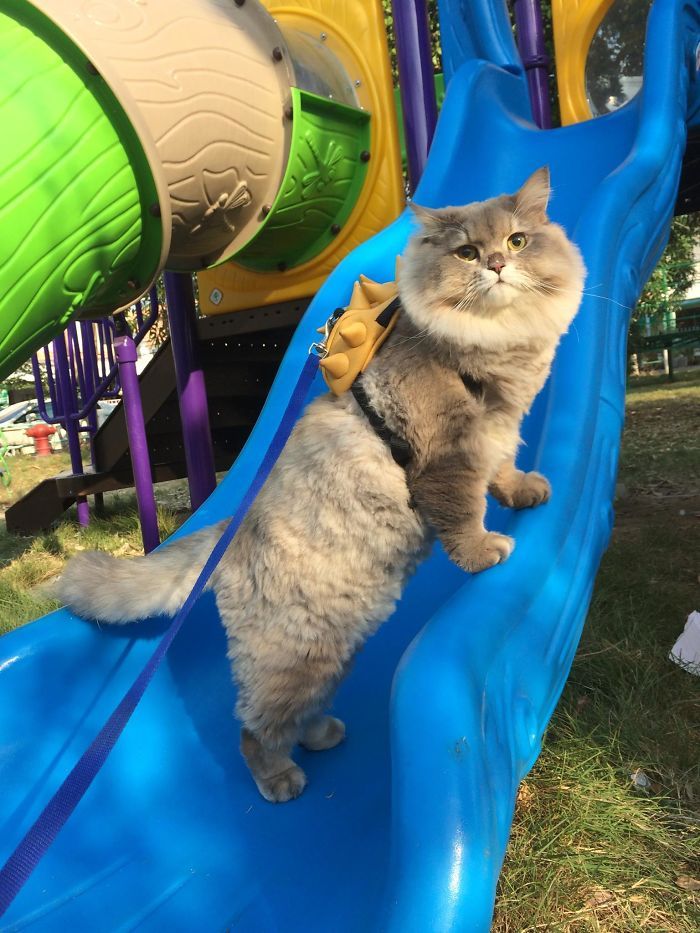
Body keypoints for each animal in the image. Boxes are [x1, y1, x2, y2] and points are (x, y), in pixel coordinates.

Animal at [58, 167, 584, 800]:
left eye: (518, 241)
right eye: (466, 253)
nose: (498, 265)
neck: (491, 347)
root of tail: (229, 536)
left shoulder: (499, 431)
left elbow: (503, 473)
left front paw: (526, 492)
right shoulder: (448, 456)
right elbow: (462, 515)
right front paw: (487, 550)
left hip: (336, 649)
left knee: (298, 712)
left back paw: (322, 734)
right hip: (297, 656)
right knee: (255, 729)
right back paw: (282, 779)